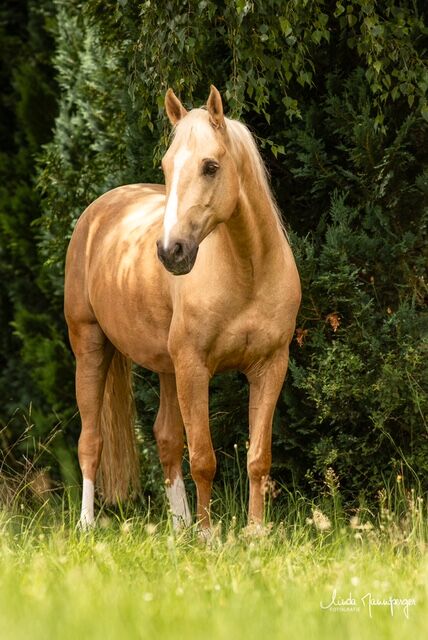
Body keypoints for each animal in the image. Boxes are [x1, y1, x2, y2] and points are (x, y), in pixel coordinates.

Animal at [66, 87, 300, 532]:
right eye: (167, 165)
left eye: (210, 166)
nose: (170, 251)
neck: (247, 273)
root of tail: (101, 208)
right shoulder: (195, 368)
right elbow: (204, 460)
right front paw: (208, 536)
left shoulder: (269, 367)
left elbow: (258, 459)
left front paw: (255, 532)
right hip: (90, 346)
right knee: (91, 441)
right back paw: (87, 525)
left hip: (167, 369)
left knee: (166, 439)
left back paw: (179, 529)